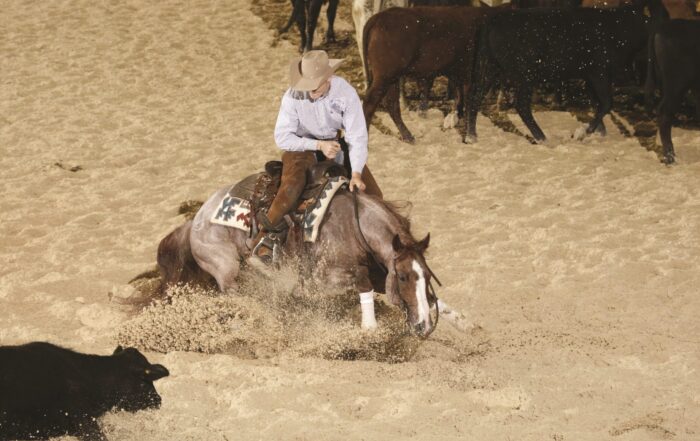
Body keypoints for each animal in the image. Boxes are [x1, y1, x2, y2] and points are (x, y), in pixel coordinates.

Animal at [157, 177, 446, 337]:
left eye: (427, 276)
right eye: (403, 276)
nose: (424, 326)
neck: (353, 226)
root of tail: (196, 219)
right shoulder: (324, 280)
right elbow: (362, 283)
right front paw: (369, 329)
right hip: (226, 268)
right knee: (235, 294)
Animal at [362, 5, 511, 143]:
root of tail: (379, 17)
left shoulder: (459, 72)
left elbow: (460, 96)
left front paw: (452, 121)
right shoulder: (474, 74)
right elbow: (471, 101)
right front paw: (471, 136)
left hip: (392, 78)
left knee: (392, 104)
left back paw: (409, 137)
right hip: (385, 76)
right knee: (370, 103)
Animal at [464, 2, 648, 144]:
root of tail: (494, 20)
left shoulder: (589, 76)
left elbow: (596, 102)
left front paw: (599, 133)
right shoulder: (600, 73)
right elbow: (606, 103)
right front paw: (584, 133)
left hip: (491, 67)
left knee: (475, 96)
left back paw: (471, 137)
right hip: (526, 74)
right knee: (521, 104)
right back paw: (543, 139)